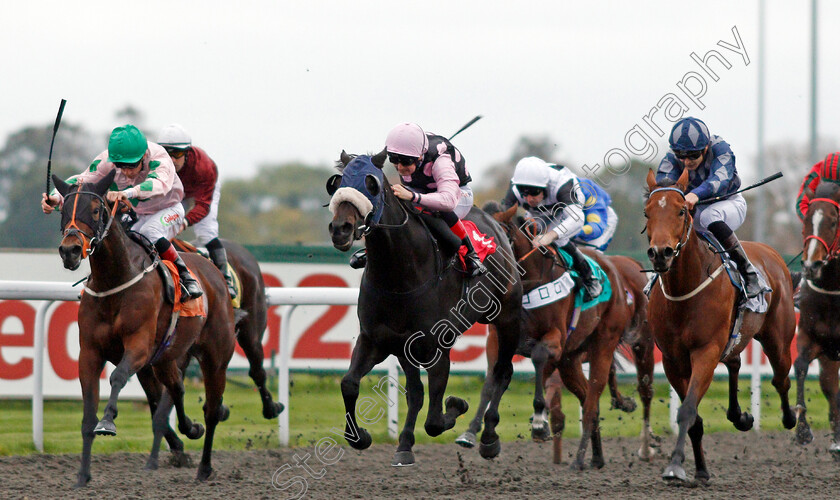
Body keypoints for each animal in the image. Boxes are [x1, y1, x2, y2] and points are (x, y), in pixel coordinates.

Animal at [51, 173, 236, 488]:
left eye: (96, 210)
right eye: (63, 209)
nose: (70, 250)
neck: (114, 281)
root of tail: (215, 273)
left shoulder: (138, 346)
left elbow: (117, 377)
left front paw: (108, 421)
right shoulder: (90, 353)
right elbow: (87, 415)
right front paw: (82, 476)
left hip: (216, 357)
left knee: (212, 410)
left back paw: (204, 468)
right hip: (165, 358)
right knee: (177, 388)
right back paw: (191, 429)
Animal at [326, 151, 520, 464]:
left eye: (372, 184)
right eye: (337, 183)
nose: (340, 229)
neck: (399, 276)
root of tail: (496, 224)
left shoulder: (437, 346)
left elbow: (435, 420)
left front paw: (456, 405)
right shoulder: (380, 340)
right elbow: (351, 383)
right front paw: (363, 437)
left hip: (508, 318)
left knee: (502, 371)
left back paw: (489, 438)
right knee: (416, 392)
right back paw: (405, 443)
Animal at [460, 203, 636, 468]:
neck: (528, 283)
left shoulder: (555, 338)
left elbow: (539, 358)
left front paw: (539, 422)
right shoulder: (497, 339)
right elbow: (492, 380)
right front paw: (473, 433)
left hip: (603, 344)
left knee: (592, 402)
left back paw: (579, 458)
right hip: (570, 361)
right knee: (587, 399)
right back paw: (596, 457)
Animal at [644, 170, 796, 482]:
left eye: (682, 210)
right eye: (647, 212)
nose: (660, 253)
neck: (684, 290)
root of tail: (772, 254)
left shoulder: (705, 350)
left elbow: (688, 410)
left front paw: (675, 466)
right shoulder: (672, 359)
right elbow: (694, 417)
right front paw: (700, 470)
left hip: (778, 340)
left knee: (781, 379)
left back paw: (793, 420)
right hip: (734, 338)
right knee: (736, 362)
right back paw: (741, 417)